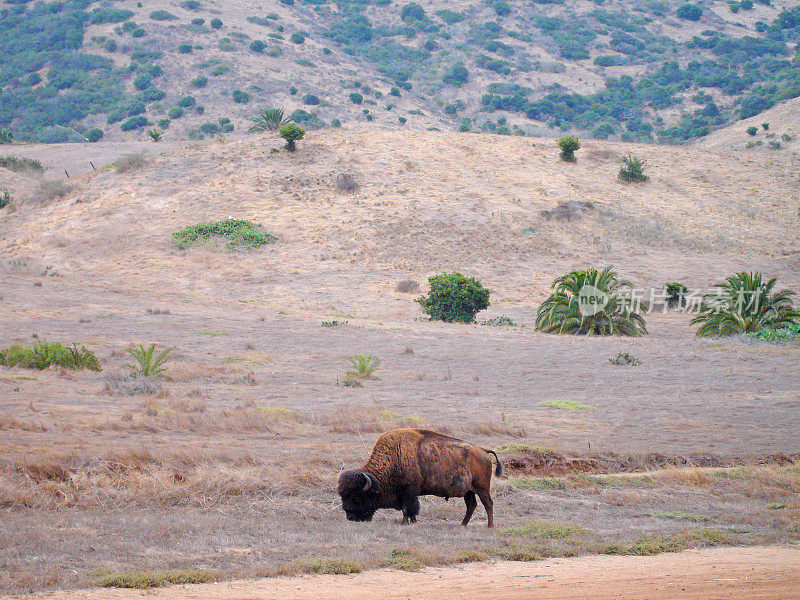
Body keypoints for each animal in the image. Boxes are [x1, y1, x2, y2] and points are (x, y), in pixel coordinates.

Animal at [336, 428, 500, 528]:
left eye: (357, 497)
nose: (350, 517)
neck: (395, 457)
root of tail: (483, 451)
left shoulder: (409, 491)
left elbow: (408, 508)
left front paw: (405, 522)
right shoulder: (407, 493)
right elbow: (409, 509)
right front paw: (411, 522)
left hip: (481, 488)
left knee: (488, 503)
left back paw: (490, 526)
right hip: (469, 491)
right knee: (471, 505)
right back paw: (463, 524)